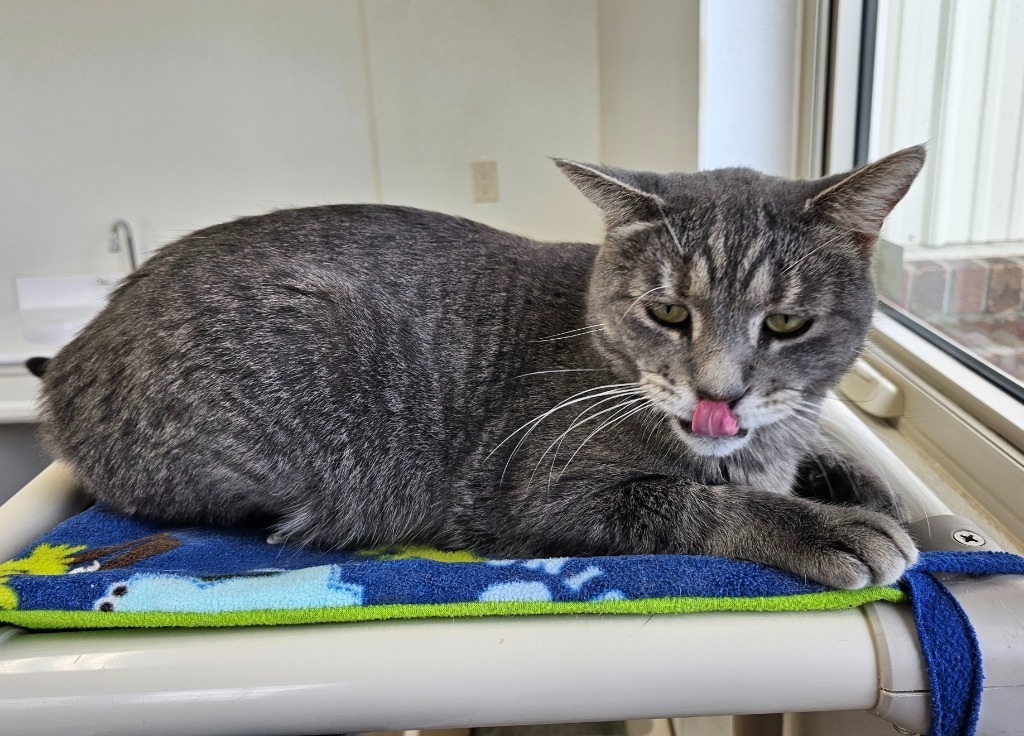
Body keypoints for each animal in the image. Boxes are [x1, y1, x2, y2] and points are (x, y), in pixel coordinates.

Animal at [36, 146, 925, 589]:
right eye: (669, 313)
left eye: (786, 324)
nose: (719, 394)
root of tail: (76, 351)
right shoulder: (540, 495)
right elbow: (690, 503)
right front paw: (822, 524)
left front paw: (849, 476)